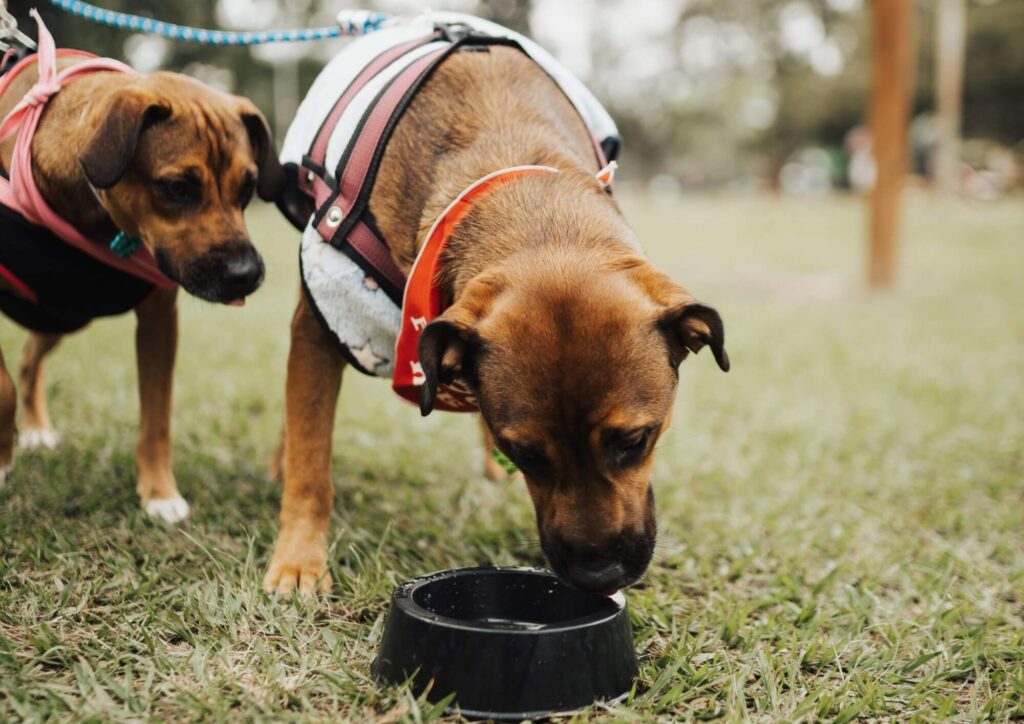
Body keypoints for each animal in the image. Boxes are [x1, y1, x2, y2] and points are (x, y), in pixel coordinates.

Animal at [0, 53, 284, 518]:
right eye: (176, 188)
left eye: (247, 188)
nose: (247, 273)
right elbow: (1, 386)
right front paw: (2, 458)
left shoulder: (158, 320)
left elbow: (156, 416)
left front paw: (160, 494)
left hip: (64, 315)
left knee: (28, 359)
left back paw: (37, 428)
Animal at [264, 43, 729, 593]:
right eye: (526, 452)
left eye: (635, 441)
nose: (598, 573)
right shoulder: (322, 323)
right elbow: (311, 462)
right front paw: (298, 559)